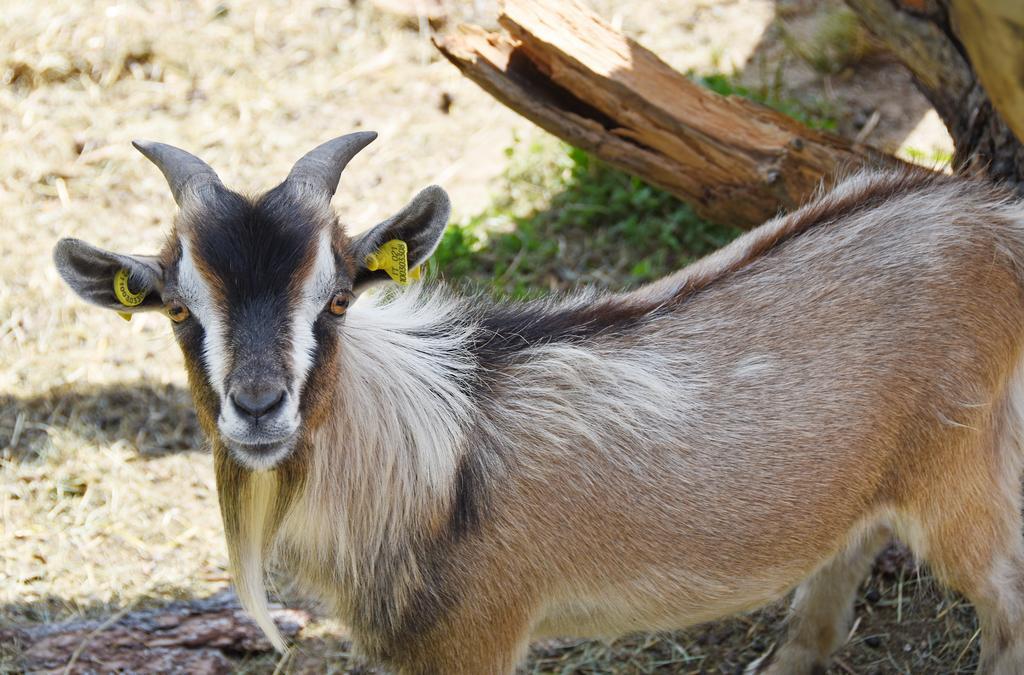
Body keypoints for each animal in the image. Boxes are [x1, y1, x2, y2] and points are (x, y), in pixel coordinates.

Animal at [51, 133, 1024, 675]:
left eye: (337, 299)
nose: (259, 405)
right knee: (846, 546)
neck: (424, 466)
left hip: (963, 468)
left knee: (1005, 601)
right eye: (179, 309)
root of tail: (997, 222)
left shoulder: (476, 637)